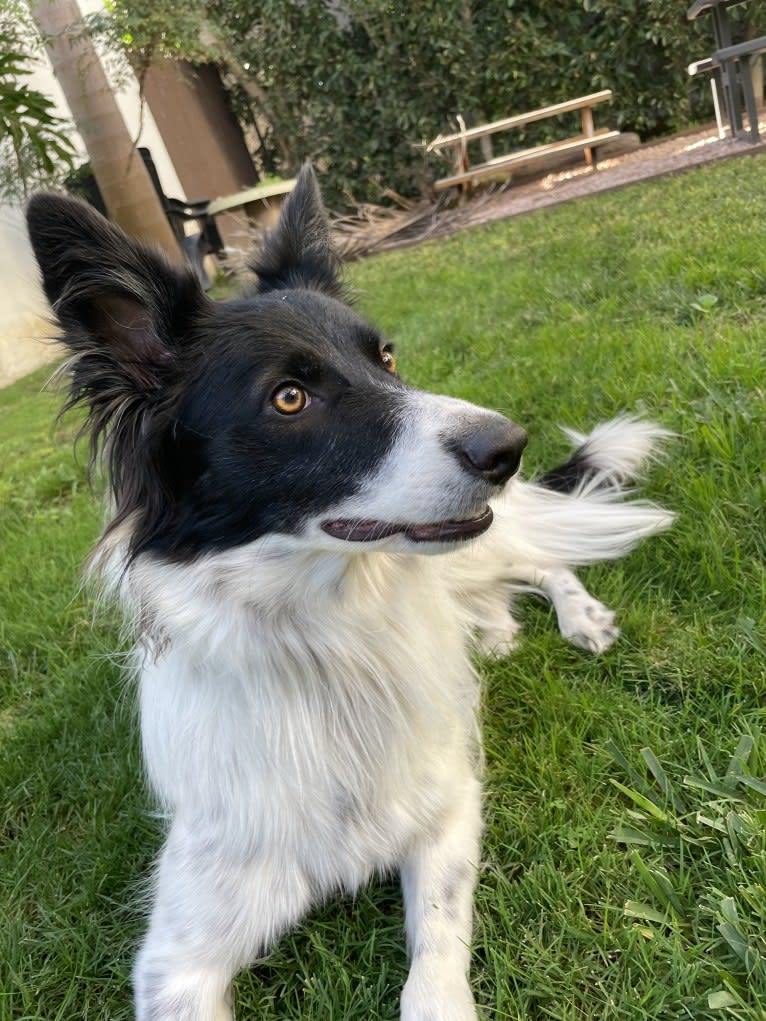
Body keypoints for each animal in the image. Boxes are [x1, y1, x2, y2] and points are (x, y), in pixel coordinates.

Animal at [25, 169, 669, 1021]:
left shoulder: (449, 805)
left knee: (535, 559)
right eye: (289, 398)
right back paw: (495, 632)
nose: (508, 445)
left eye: (386, 355)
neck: (330, 642)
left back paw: (577, 618)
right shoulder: (174, 958)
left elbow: (434, 954)